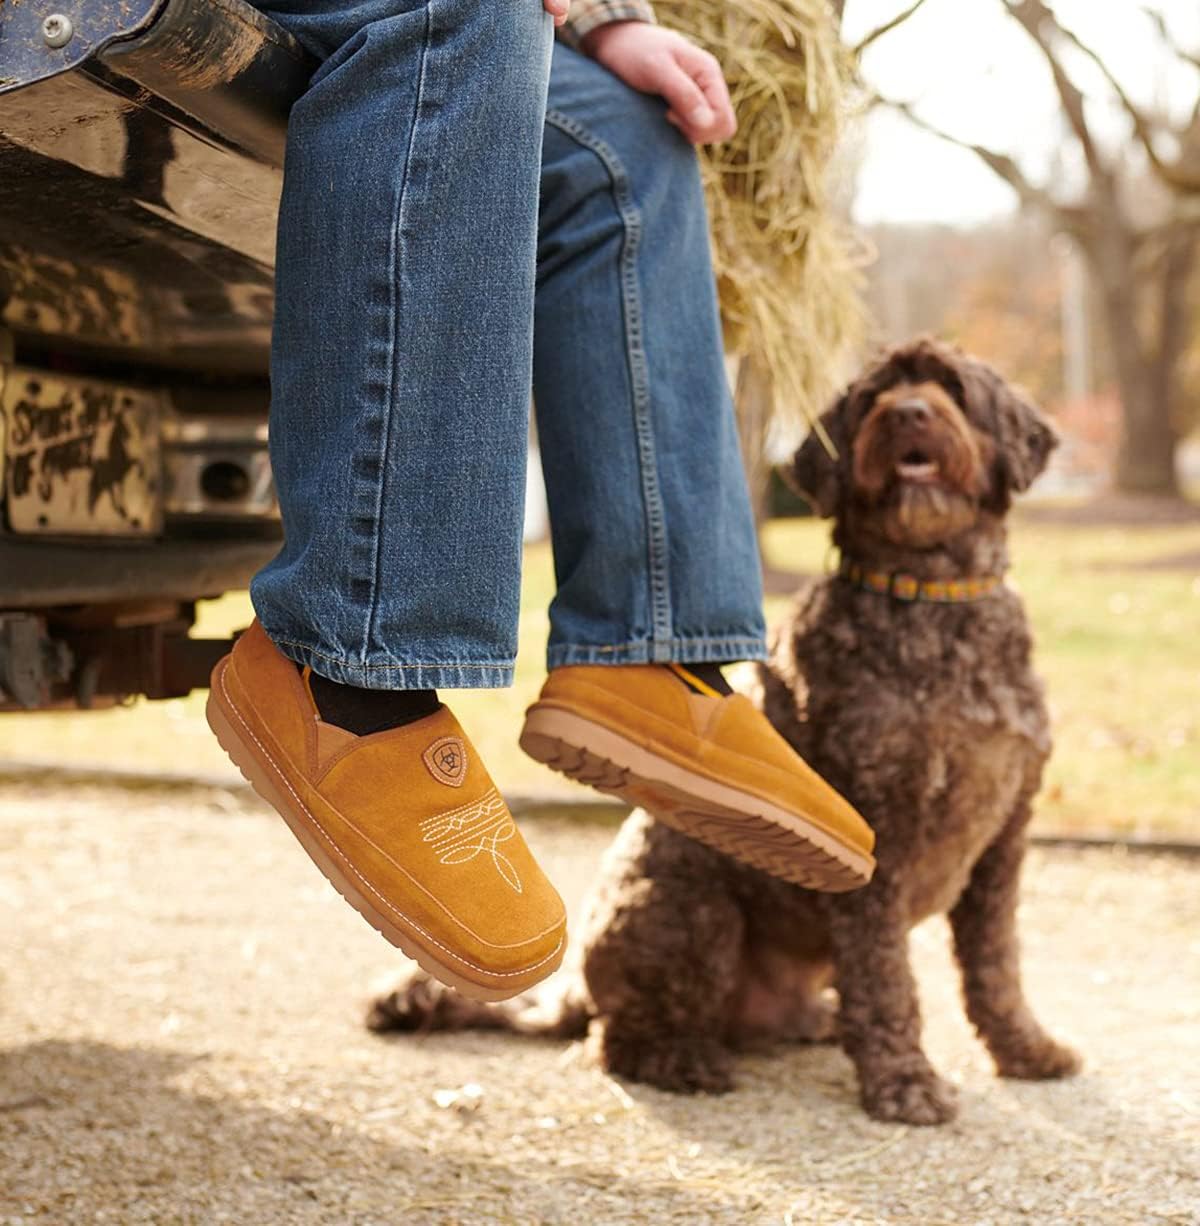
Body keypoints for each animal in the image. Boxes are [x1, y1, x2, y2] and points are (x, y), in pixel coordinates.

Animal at [365, 340, 1078, 1123]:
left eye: (952, 388)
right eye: (873, 398)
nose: (909, 413)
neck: (933, 600)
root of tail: (574, 988)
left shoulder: (1005, 837)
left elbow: (995, 965)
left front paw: (1025, 1049)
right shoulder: (878, 839)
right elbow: (887, 978)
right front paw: (905, 1081)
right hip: (695, 913)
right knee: (616, 1043)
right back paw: (684, 1060)